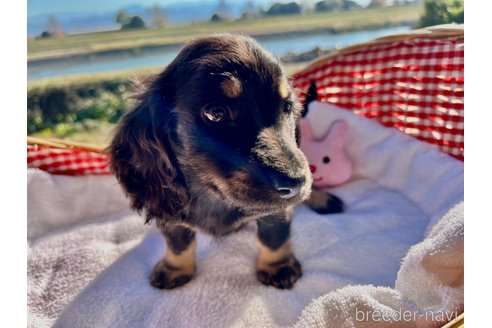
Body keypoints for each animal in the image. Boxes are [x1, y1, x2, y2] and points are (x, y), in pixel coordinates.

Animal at [109, 34, 344, 290]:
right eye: (216, 114)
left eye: (288, 107)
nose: (295, 184)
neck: (215, 197)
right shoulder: (170, 214)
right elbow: (178, 242)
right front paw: (174, 268)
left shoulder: (276, 211)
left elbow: (273, 236)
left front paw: (277, 266)